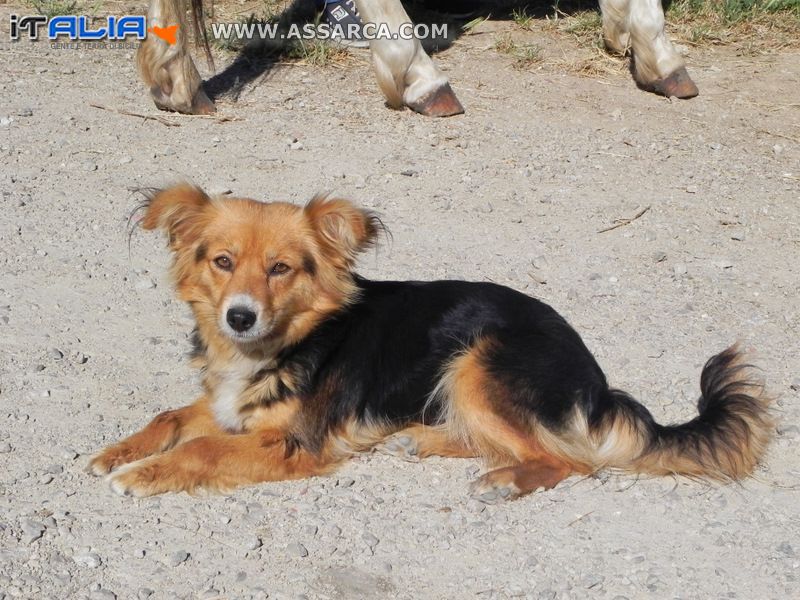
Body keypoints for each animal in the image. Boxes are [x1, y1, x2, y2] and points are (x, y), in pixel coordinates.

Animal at [87, 185, 776, 500]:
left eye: (281, 269)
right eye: (223, 262)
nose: (239, 317)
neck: (284, 344)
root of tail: (596, 377)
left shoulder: (294, 443)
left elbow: (204, 450)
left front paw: (143, 472)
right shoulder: (228, 403)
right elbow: (172, 415)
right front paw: (120, 451)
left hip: (477, 360)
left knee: (571, 458)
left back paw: (505, 479)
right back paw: (424, 439)